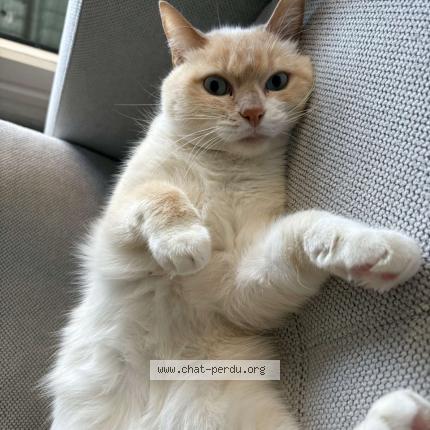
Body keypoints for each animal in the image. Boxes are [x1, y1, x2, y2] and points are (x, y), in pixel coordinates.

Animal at [46, 1, 429, 429]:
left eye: (276, 82)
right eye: (216, 86)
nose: (253, 113)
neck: (223, 170)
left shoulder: (240, 287)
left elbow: (311, 226)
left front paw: (380, 252)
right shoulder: (118, 228)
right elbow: (163, 194)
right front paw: (186, 241)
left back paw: (405, 413)